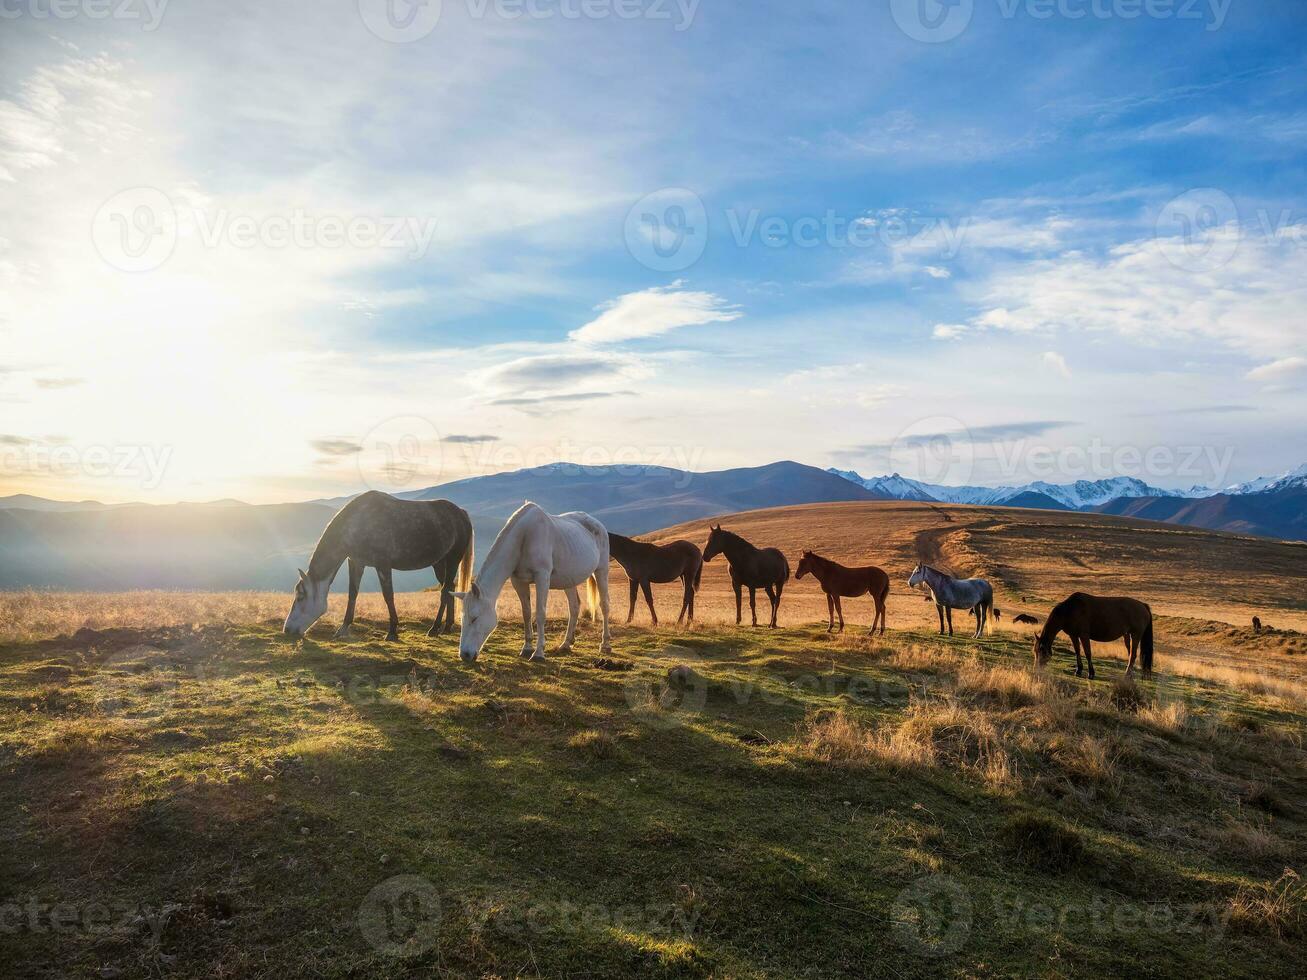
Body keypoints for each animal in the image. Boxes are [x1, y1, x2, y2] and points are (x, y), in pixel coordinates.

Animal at [286, 491, 475, 645]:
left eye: (301, 596)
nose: (287, 630)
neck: (357, 522)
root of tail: (461, 513)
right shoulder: (356, 562)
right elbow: (352, 594)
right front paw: (343, 628)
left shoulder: (383, 565)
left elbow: (388, 595)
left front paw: (392, 631)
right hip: (439, 563)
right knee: (449, 587)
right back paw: (447, 626)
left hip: (453, 559)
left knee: (444, 591)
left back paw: (434, 628)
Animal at [452, 501, 614, 663]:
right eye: (462, 618)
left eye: (474, 618)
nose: (464, 655)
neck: (524, 537)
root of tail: (598, 525)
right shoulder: (518, 581)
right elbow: (527, 613)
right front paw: (527, 648)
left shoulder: (542, 577)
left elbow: (540, 613)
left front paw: (538, 653)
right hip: (569, 580)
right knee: (574, 607)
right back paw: (566, 644)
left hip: (601, 570)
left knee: (605, 605)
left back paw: (605, 644)